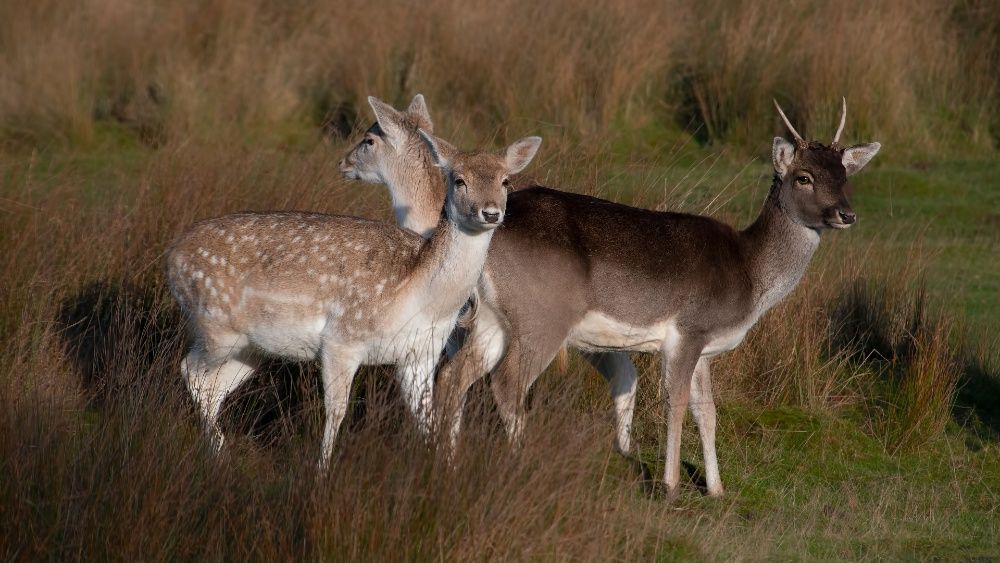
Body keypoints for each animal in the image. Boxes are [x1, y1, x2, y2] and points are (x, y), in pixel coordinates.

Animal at [166, 126, 540, 468]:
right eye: (458, 179)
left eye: (505, 181)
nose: (490, 212)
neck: (421, 297)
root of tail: (171, 256)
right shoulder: (342, 339)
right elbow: (337, 411)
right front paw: (322, 473)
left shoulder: (420, 354)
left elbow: (426, 417)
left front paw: (438, 471)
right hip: (215, 326)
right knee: (190, 371)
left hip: (251, 348)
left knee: (213, 386)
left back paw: (220, 453)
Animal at [342, 97, 876, 498]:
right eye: (803, 176)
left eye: (844, 176)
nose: (847, 214)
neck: (749, 275)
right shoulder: (687, 330)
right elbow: (674, 402)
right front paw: (670, 486)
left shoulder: (707, 347)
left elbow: (707, 411)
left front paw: (718, 488)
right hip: (542, 316)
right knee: (507, 383)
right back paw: (517, 463)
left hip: (494, 317)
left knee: (454, 376)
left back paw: (449, 464)